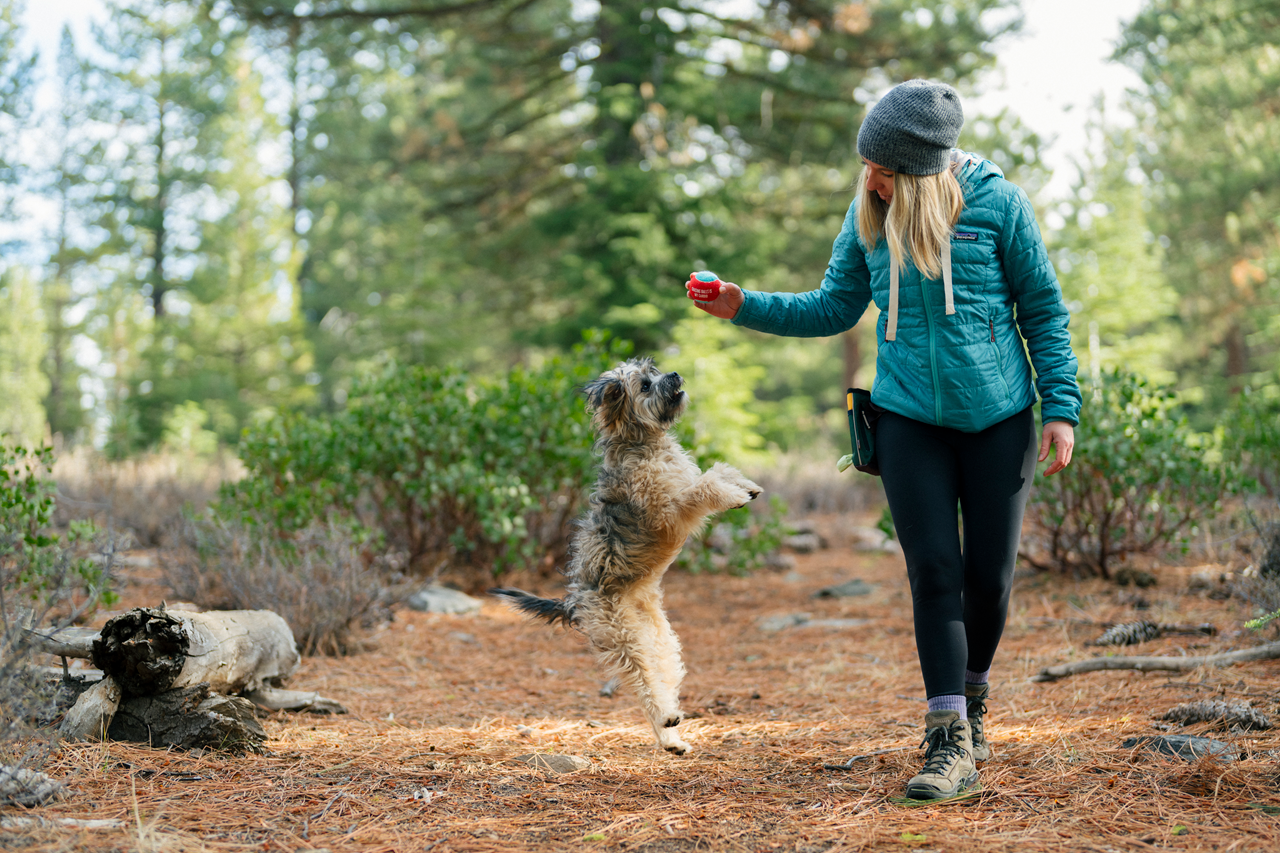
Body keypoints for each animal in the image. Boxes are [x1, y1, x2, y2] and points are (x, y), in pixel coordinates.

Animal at [491, 356, 757, 753]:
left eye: (655, 372)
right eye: (645, 385)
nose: (674, 374)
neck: (644, 444)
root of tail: (572, 600)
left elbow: (718, 469)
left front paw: (746, 485)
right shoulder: (669, 509)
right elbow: (705, 483)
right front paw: (734, 495)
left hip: (661, 643)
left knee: (662, 682)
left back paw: (672, 738)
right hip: (623, 639)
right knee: (643, 685)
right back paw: (666, 720)